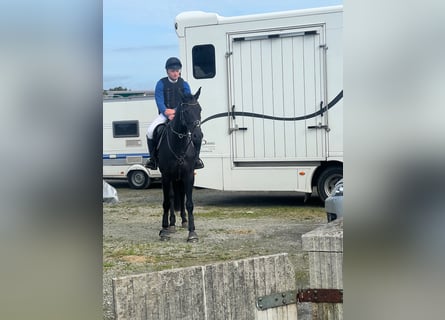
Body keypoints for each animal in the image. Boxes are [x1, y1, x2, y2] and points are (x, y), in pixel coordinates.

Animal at [153, 87, 200, 242]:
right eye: (185, 111)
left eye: (200, 109)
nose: (198, 135)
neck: (178, 143)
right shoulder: (166, 176)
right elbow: (167, 202)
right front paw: (164, 230)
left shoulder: (189, 175)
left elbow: (189, 203)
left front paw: (192, 232)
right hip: (172, 178)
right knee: (172, 197)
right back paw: (171, 224)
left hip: (179, 178)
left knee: (181, 195)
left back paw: (183, 221)